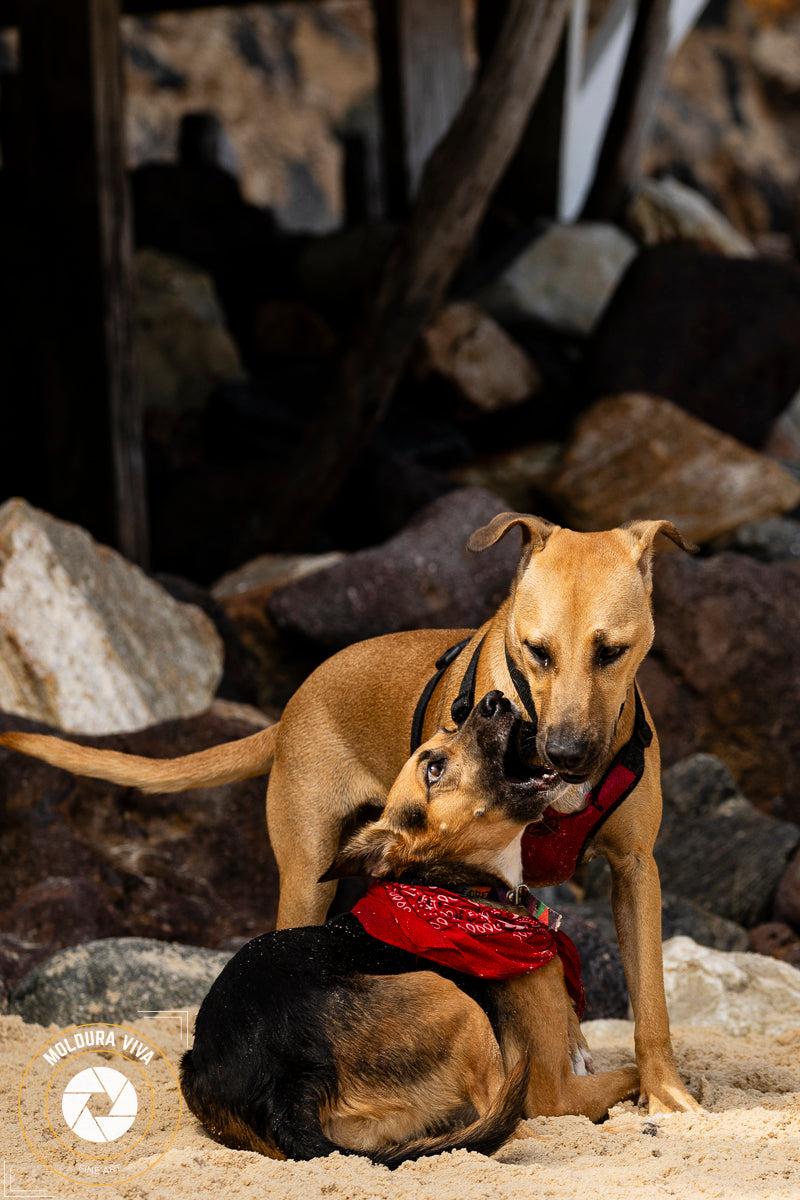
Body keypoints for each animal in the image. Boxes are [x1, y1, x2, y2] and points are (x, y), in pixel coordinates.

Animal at [0, 516, 700, 1113]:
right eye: (537, 650)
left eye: (611, 652)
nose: (566, 753)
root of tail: (290, 709)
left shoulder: (635, 872)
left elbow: (651, 1002)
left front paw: (665, 1092)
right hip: (307, 878)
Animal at [179, 691, 638, 1166]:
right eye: (433, 769)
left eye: (450, 729)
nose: (492, 698)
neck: (455, 887)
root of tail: (285, 1086)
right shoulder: (556, 1092)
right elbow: (630, 1073)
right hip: (453, 1000)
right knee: (515, 1132)